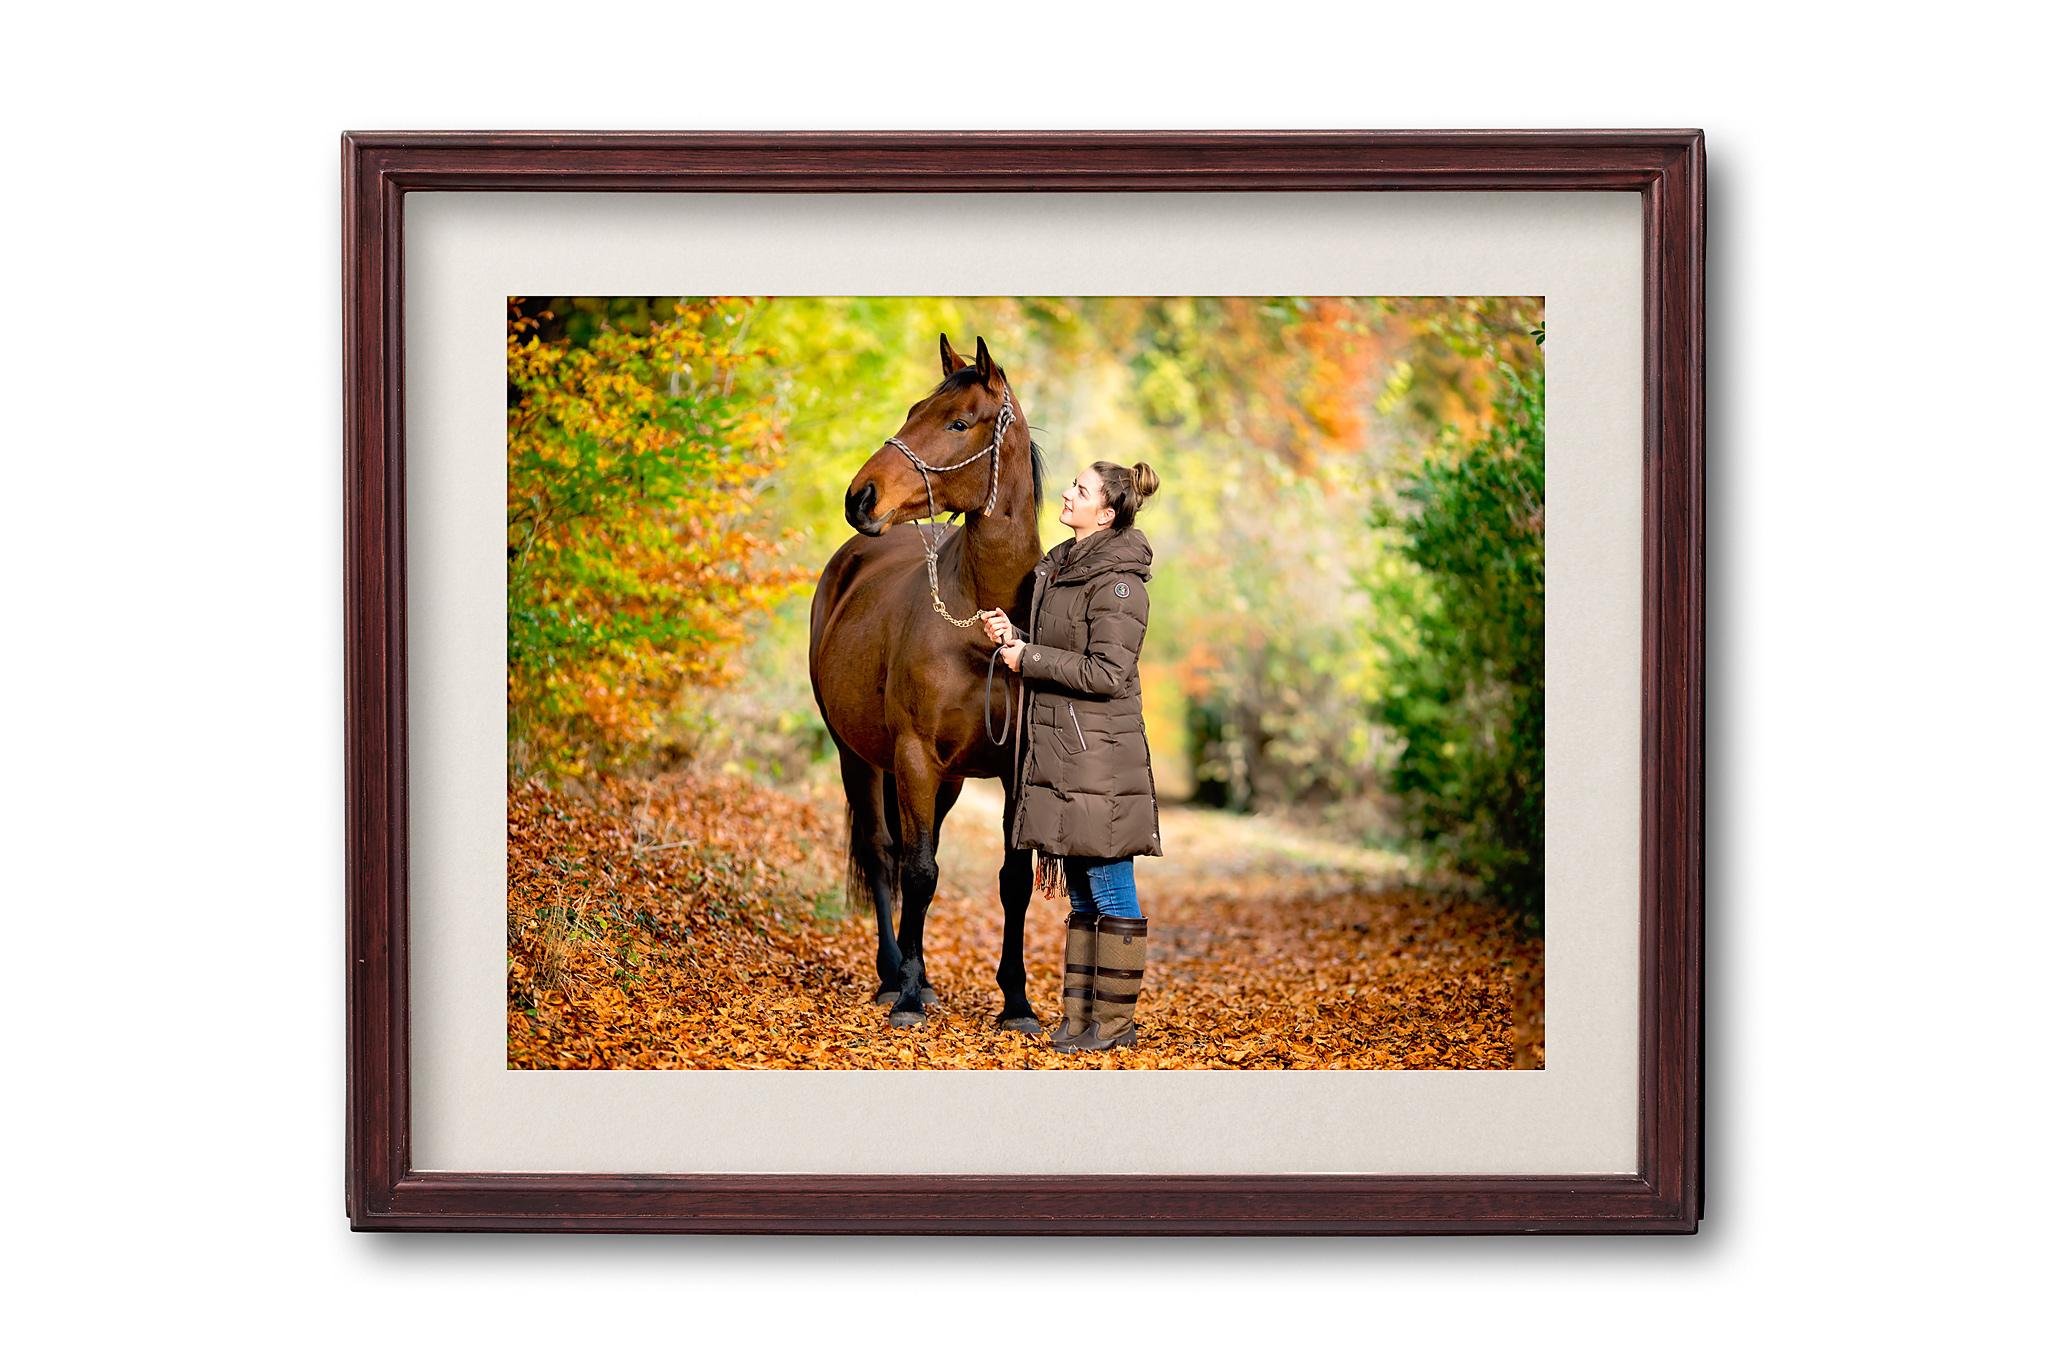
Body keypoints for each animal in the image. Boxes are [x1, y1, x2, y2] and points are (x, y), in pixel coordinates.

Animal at [806, 335, 1048, 1031]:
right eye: (915, 409)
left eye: (958, 423)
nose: (861, 497)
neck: (984, 626)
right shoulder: (913, 756)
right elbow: (916, 871)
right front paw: (909, 996)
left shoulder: (1013, 770)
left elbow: (1011, 880)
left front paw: (1017, 1003)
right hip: (857, 758)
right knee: (885, 852)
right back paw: (895, 974)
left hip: (948, 780)